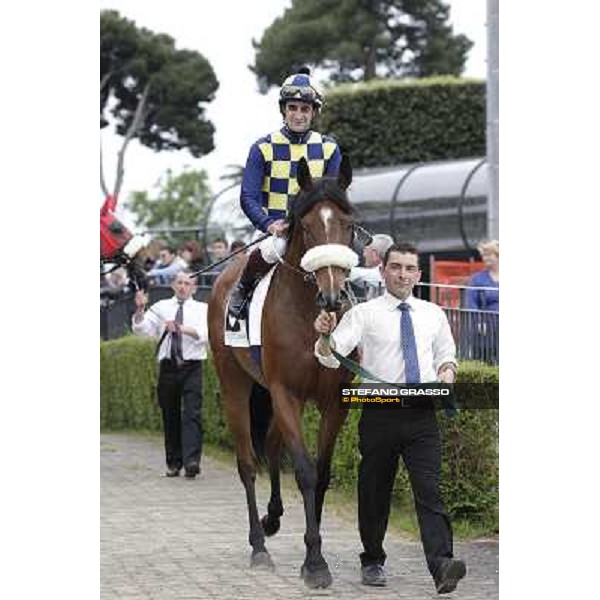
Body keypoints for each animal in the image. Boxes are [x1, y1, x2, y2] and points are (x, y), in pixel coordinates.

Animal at [206, 156, 356, 592]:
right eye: (306, 227)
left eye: (348, 224)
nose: (332, 296)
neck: (309, 316)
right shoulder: (285, 391)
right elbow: (304, 470)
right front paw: (315, 562)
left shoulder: (333, 401)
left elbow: (321, 472)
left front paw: (313, 546)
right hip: (235, 383)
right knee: (247, 462)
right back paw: (259, 546)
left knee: (272, 445)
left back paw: (273, 519)